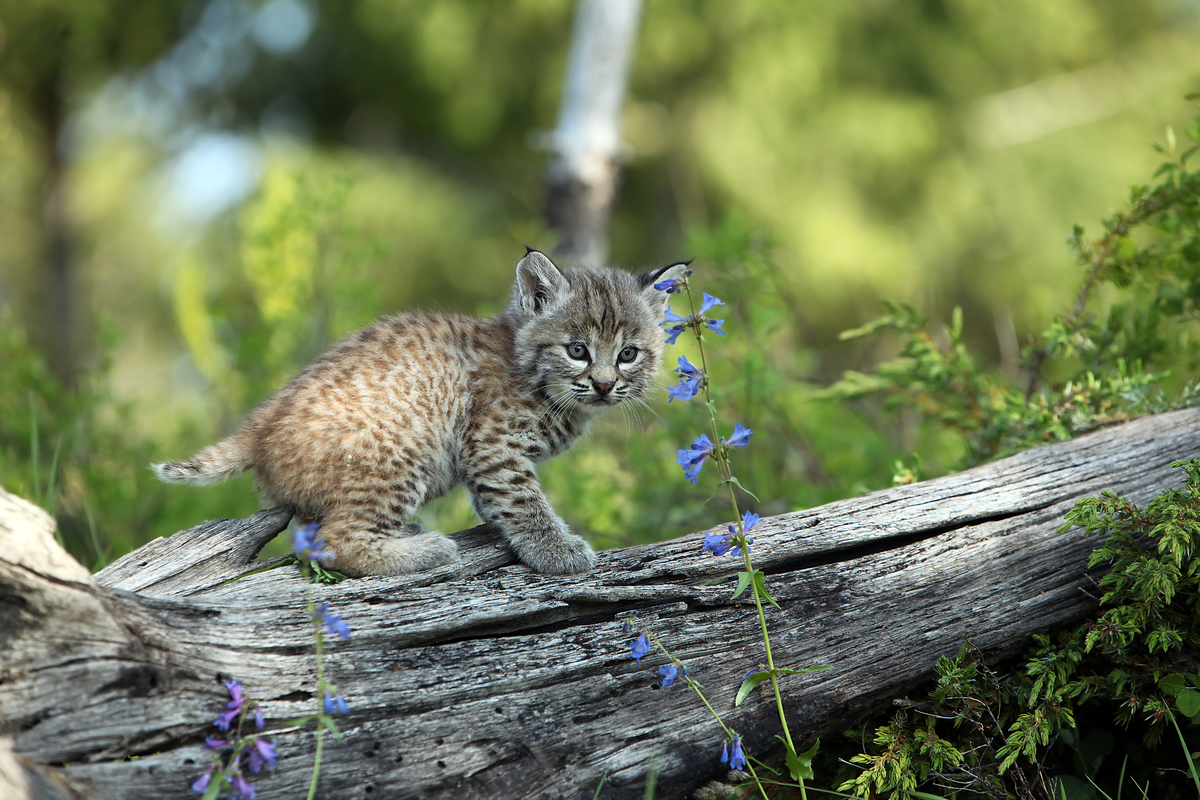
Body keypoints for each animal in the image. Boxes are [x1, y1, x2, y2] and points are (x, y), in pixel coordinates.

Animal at [154, 248, 691, 575]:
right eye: (577, 350)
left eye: (628, 355)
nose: (603, 385)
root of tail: (258, 424)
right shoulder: (494, 445)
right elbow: (524, 500)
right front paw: (556, 551)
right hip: (400, 448)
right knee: (334, 540)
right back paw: (425, 549)